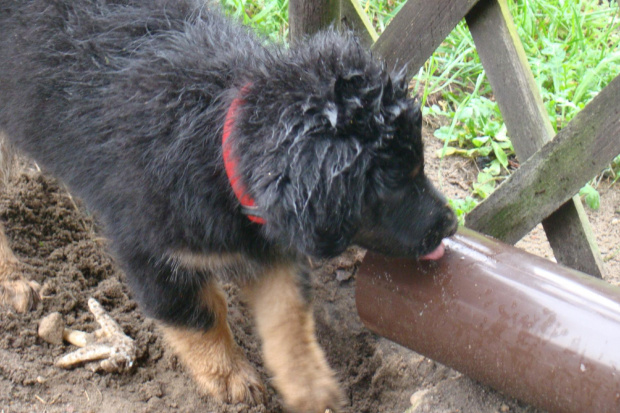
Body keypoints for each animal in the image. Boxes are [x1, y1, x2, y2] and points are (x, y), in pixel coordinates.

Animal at [0, 1, 456, 410]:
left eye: (420, 166)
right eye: (395, 184)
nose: (451, 224)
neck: (221, 138)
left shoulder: (272, 246)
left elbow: (287, 318)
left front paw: (311, 387)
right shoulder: (154, 254)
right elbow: (199, 318)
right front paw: (232, 379)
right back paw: (14, 281)